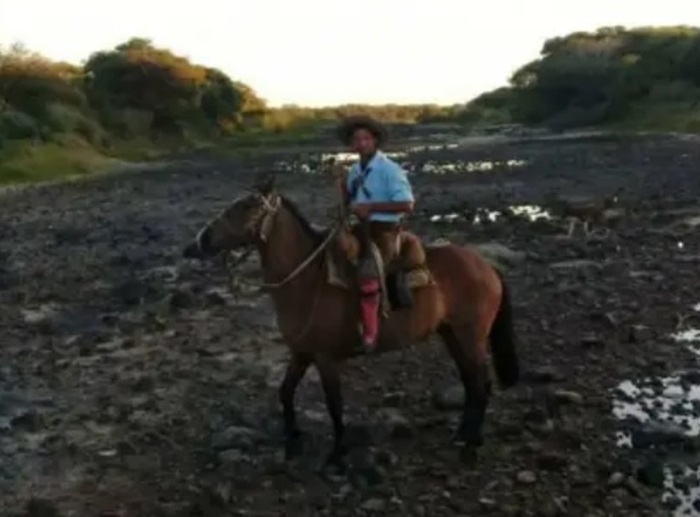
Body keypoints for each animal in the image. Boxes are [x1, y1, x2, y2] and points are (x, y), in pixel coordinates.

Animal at [183, 175, 520, 464]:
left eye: (246, 207)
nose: (197, 243)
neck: (306, 280)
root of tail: (486, 266)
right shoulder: (301, 353)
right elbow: (285, 391)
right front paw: (292, 439)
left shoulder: (325, 357)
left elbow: (334, 404)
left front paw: (337, 452)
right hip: (451, 333)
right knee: (471, 382)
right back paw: (463, 434)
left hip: (470, 335)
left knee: (481, 383)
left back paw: (471, 442)